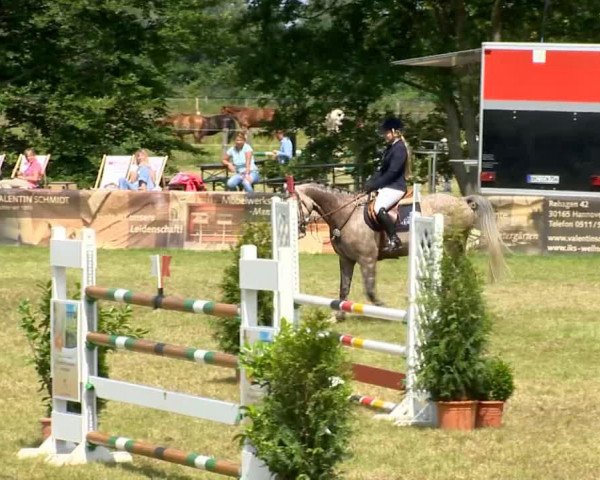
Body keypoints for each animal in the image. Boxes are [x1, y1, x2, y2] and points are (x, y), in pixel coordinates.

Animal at [294, 183, 506, 318]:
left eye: (295, 204)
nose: (299, 230)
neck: (346, 214)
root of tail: (462, 201)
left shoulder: (367, 259)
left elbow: (369, 290)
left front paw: (381, 307)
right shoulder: (346, 259)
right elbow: (343, 289)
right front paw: (338, 315)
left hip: (451, 246)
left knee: (462, 272)